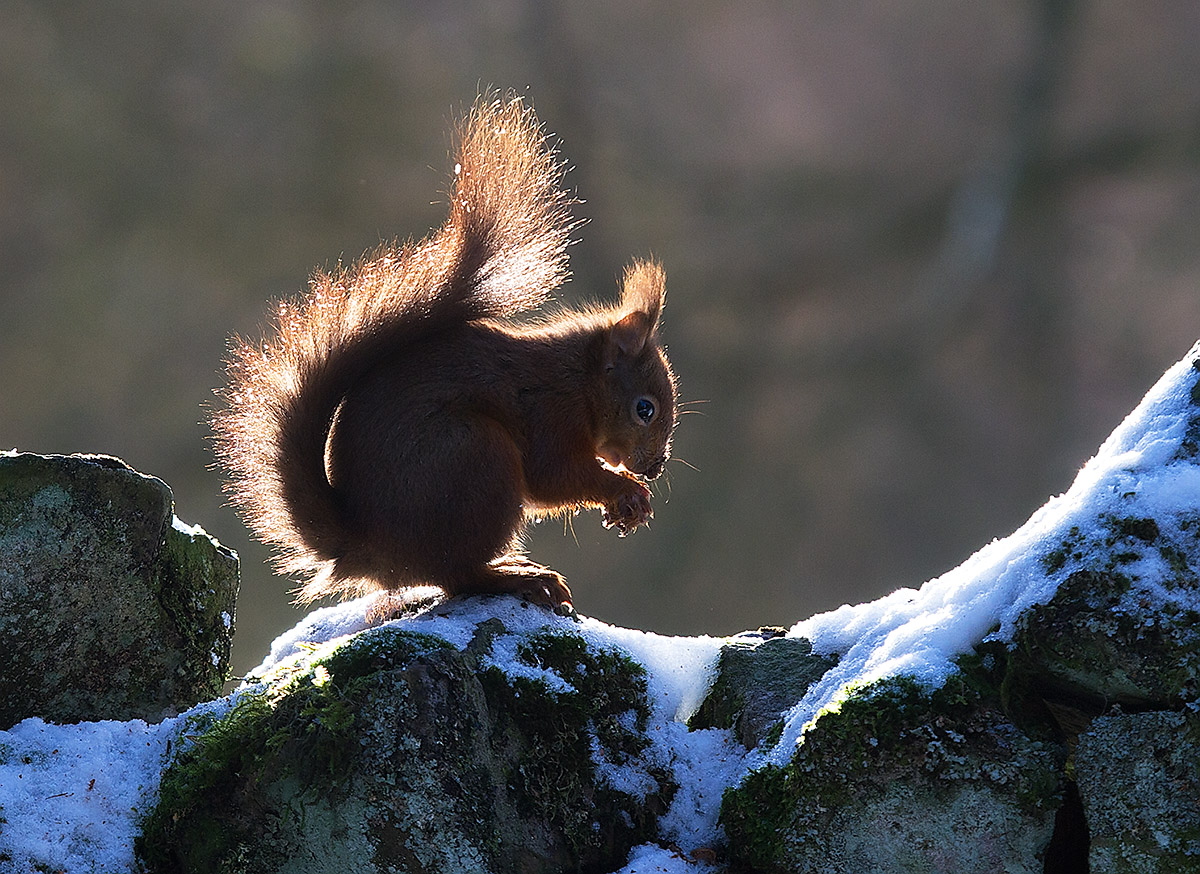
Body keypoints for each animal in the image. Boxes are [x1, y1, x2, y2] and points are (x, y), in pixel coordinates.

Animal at [212, 95, 677, 613]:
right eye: (644, 409)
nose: (655, 467)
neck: (579, 379)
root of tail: (369, 547)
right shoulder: (550, 413)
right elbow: (553, 477)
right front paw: (626, 492)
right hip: (475, 456)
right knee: (457, 575)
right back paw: (518, 577)